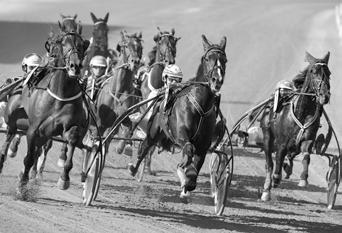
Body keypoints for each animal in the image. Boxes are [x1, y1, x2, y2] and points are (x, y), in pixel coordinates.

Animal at [16, 28, 89, 193]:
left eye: (81, 46)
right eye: (64, 44)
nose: (75, 65)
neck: (60, 95)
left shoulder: (70, 126)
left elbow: (71, 141)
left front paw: (64, 179)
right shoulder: (34, 129)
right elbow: (29, 157)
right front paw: (22, 185)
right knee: (34, 152)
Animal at [82, 30, 144, 180]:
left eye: (140, 47)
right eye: (125, 46)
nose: (135, 62)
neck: (117, 92)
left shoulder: (121, 120)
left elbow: (127, 128)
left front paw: (124, 147)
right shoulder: (101, 123)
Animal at [128, 33, 227, 198]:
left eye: (224, 60)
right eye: (208, 58)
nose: (217, 80)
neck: (200, 105)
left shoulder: (204, 144)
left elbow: (197, 164)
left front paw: (188, 181)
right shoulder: (180, 135)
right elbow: (188, 148)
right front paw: (183, 168)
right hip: (154, 131)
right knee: (145, 146)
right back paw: (134, 168)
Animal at [260, 52, 332, 201]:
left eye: (329, 73)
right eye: (313, 71)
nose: (325, 96)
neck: (302, 112)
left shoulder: (307, 139)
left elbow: (307, 155)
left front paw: (303, 179)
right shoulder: (282, 143)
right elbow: (277, 165)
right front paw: (276, 180)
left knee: (290, 155)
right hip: (267, 136)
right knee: (269, 164)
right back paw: (266, 190)